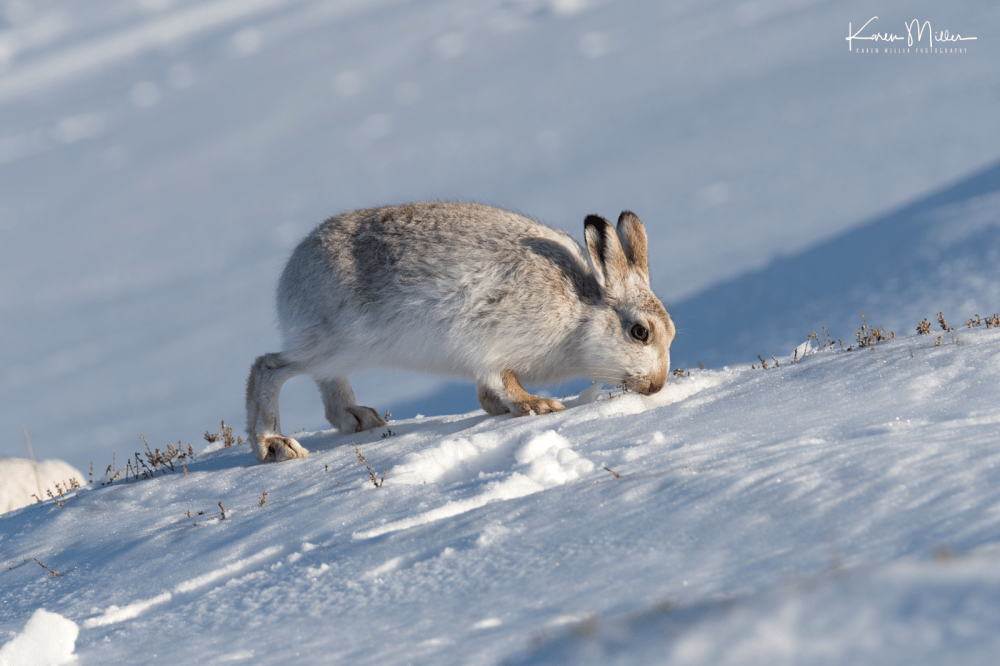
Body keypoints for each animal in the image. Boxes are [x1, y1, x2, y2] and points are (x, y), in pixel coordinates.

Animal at [246, 202, 675, 463]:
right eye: (640, 332)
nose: (656, 385)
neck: (581, 310)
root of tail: (291, 274)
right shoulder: (488, 344)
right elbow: (503, 381)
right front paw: (538, 406)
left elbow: (488, 394)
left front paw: (499, 409)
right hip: (340, 343)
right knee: (268, 367)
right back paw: (275, 446)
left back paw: (360, 419)